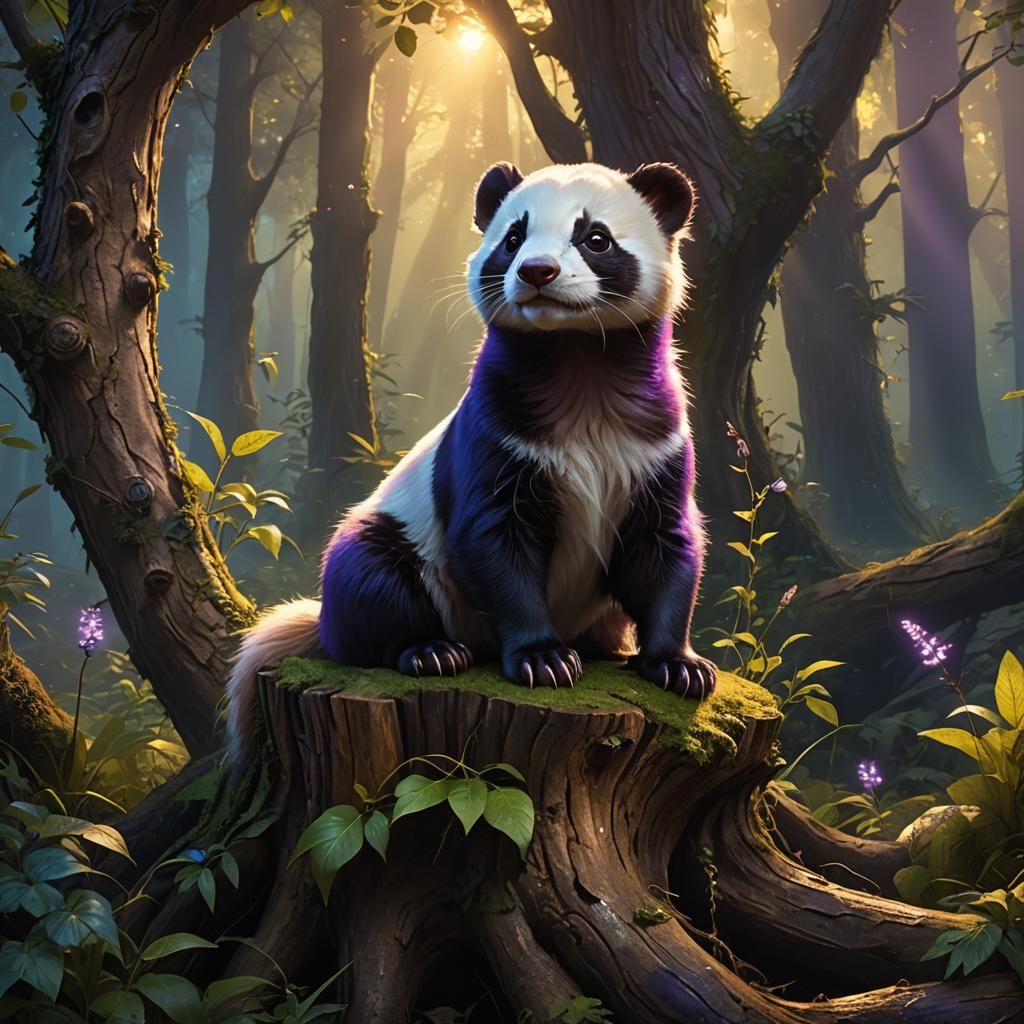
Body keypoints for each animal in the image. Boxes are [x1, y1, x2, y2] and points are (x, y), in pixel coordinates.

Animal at [227, 160, 716, 761]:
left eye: (595, 238)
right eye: (513, 237)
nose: (537, 271)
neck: (576, 357)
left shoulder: (656, 443)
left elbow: (664, 542)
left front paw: (679, 667)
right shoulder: (496, 431)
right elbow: (494, 537)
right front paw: (545, 660)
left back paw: (605, 647)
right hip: (393, 543)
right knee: (370, 581)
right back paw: (431, 651)